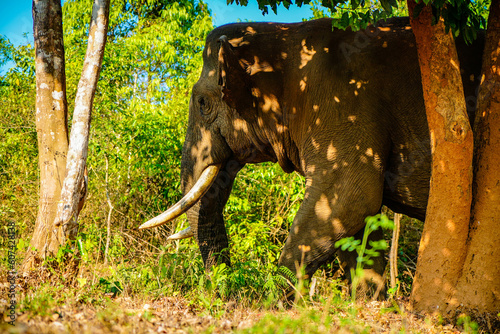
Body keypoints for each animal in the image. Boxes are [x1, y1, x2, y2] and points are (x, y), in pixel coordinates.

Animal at [140, 15, 484, 292]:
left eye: (202, 103)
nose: (225, 291)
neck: (287, 37)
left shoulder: (343, 107)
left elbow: (349, 200)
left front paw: (271, 303)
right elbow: (358, 222)